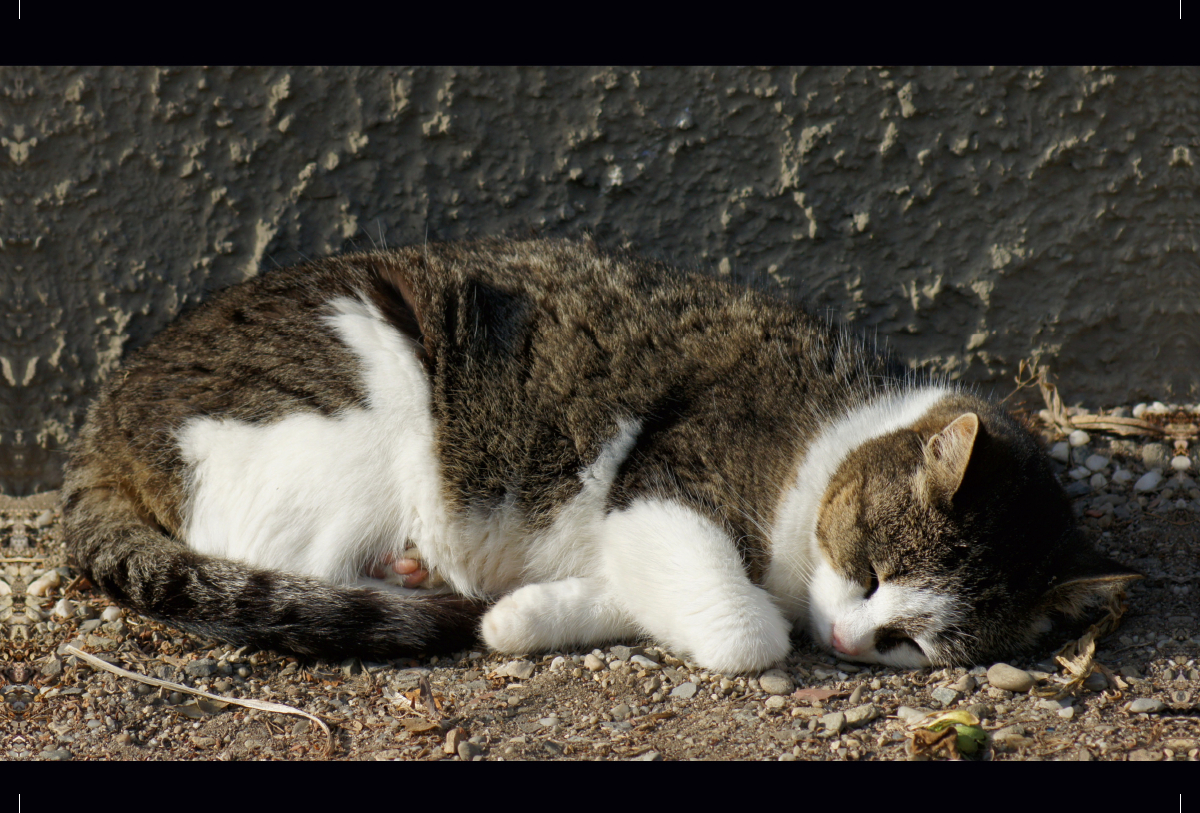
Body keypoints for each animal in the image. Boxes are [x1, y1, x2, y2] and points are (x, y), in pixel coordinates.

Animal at [60, 238, 1137, 676]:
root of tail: (104, 418)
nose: (846, 641)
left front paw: (533, 614)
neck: (832, 423)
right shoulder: (665, 484)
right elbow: (747, 629)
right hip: (360, 396)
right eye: (868, 570)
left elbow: (629, 584)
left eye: (910, 640)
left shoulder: (633, 531)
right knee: (280, 569)